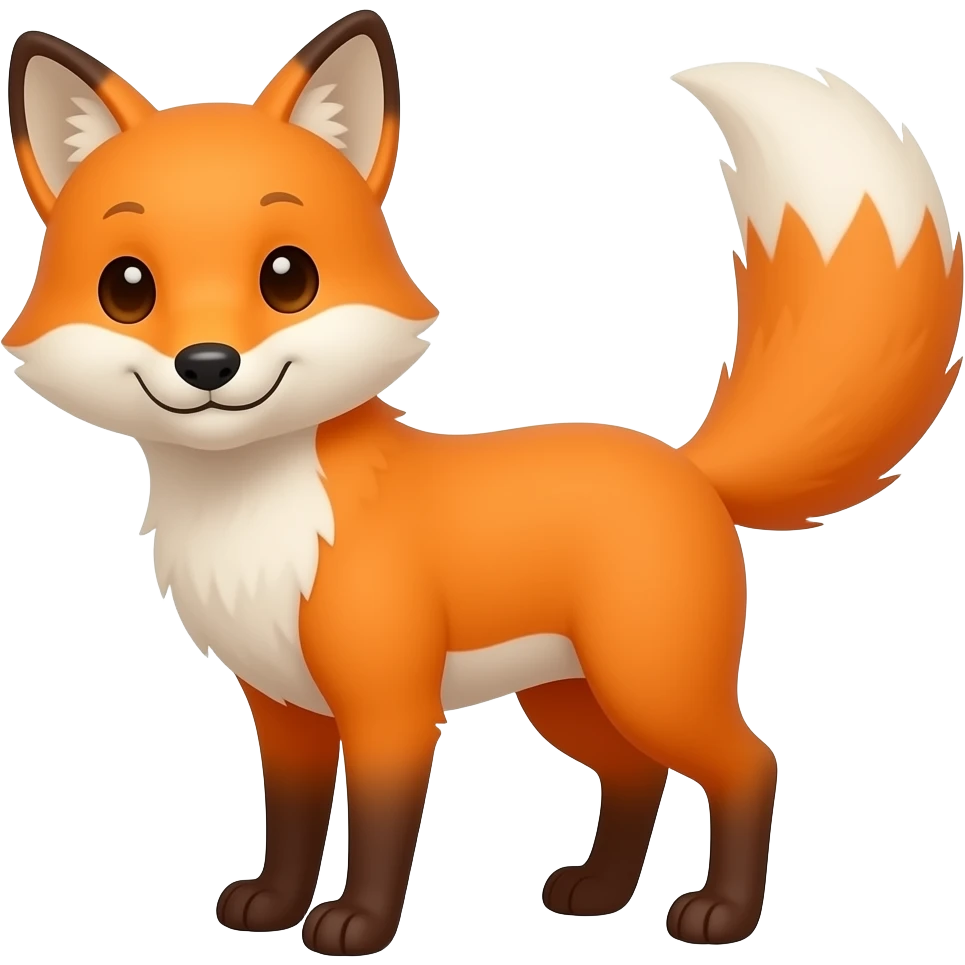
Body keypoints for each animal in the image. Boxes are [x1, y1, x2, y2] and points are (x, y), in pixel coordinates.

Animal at [5, 13, 963, 955]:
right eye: (127, 287)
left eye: (288, 277)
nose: (207, 364)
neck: (255, 518)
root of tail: (685, 464)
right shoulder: (281, 706)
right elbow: (293, 821)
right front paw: (273, 906)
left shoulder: (390, 703)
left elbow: (382, 828)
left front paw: (356, 925)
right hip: (568, 696)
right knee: (637, 773)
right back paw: (598, 893)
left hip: (649, 681)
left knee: (750, 762)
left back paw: (719, 914)